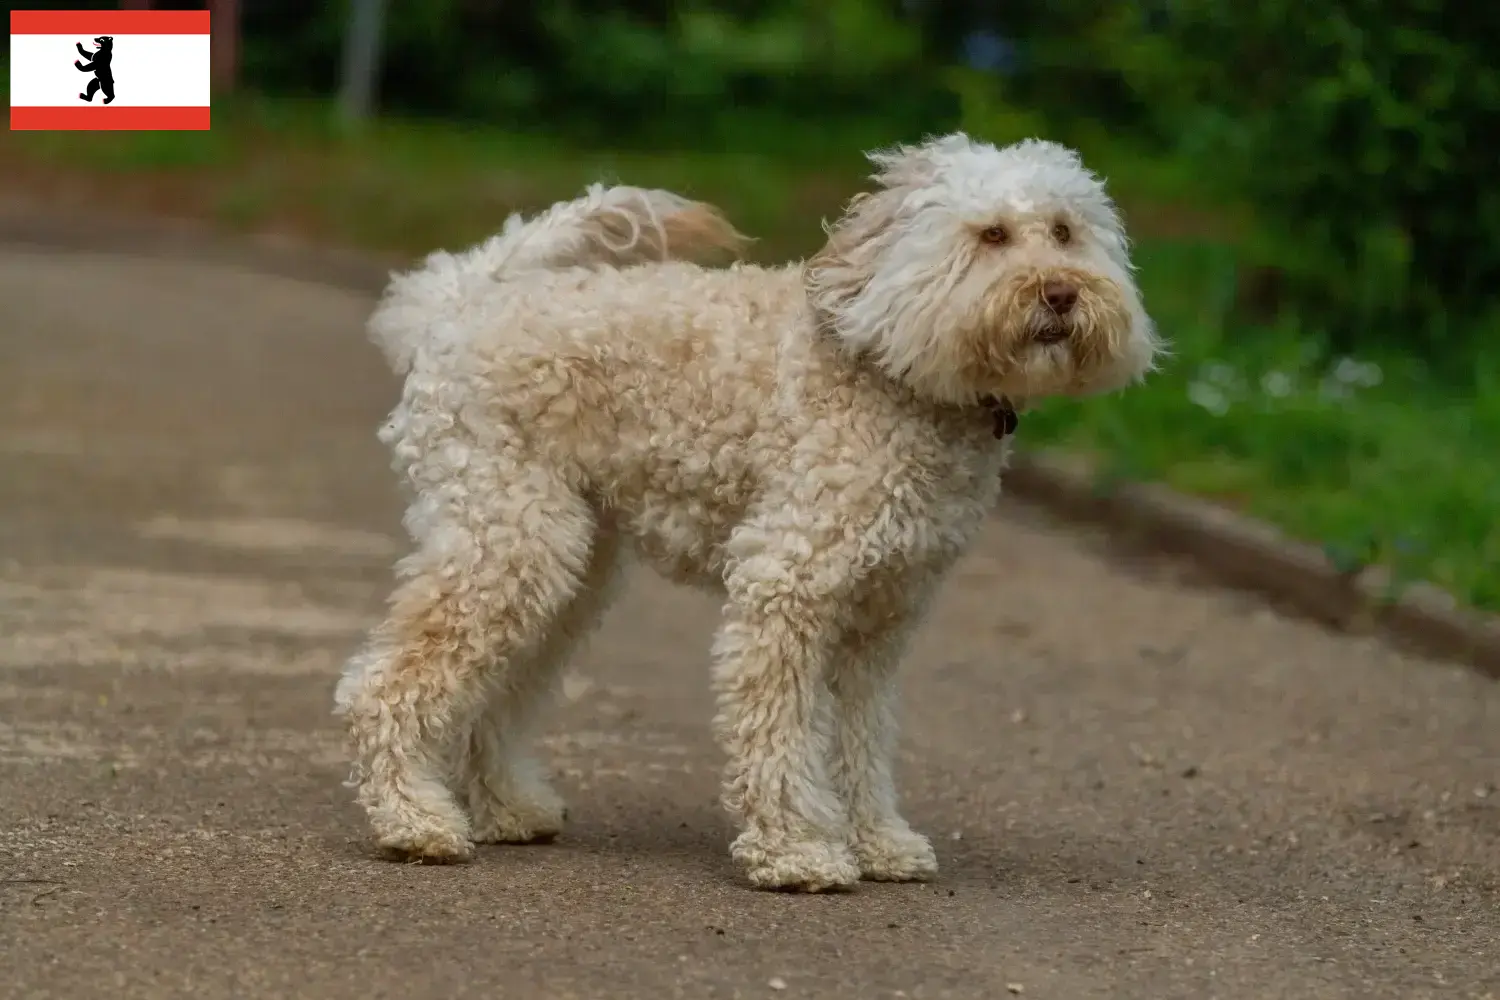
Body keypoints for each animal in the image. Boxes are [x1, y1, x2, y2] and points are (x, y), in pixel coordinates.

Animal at [337, 132, 1158, 893]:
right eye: (991, 235)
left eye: (1064, 231)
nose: (1061, 293)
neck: (889, 361)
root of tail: (461, 302)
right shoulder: (788, 584)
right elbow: (779, 732)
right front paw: (797, 852)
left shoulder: (881, 620)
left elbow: (861, 741)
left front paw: (879, 842)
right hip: (508, 544)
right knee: (385, 684)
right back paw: (414, 820)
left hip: (568, 569)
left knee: (499, 689)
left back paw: (507, 807)